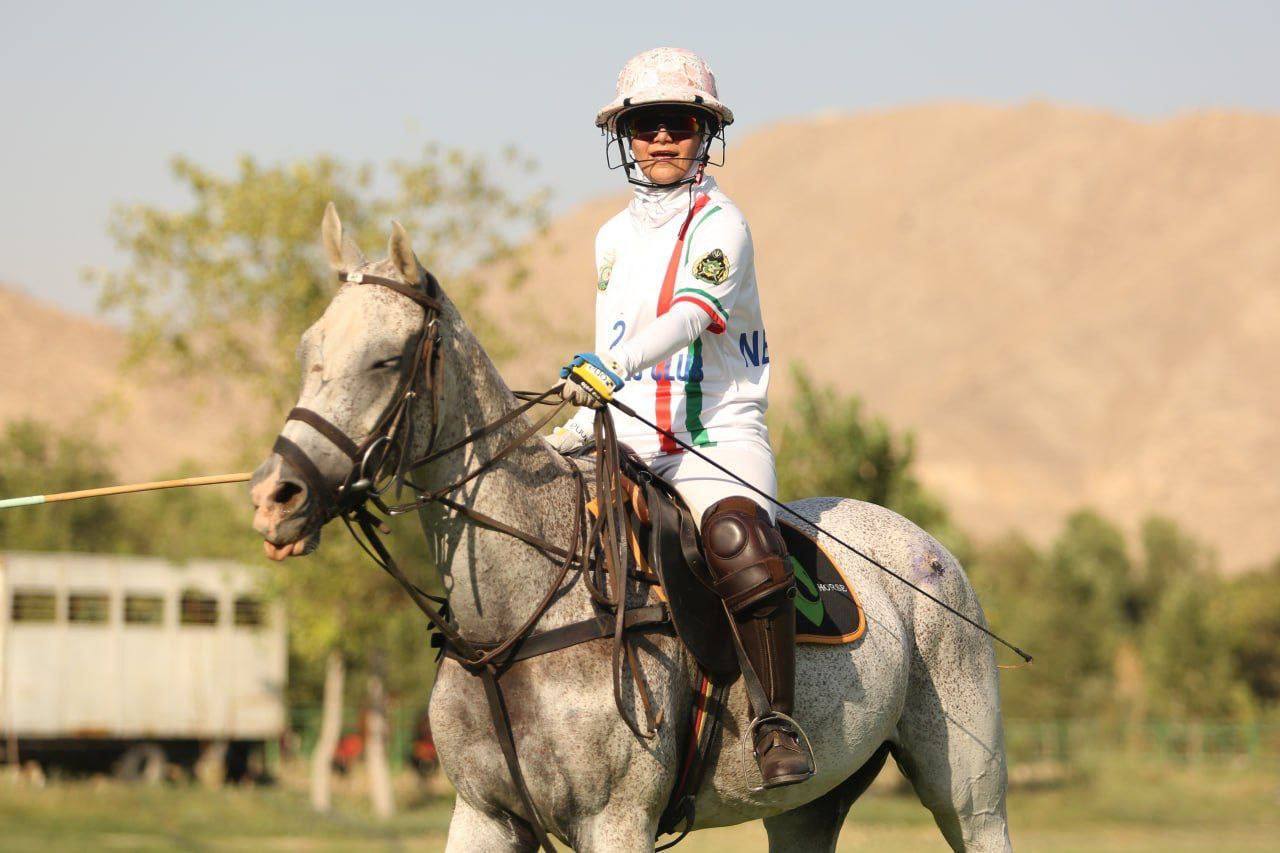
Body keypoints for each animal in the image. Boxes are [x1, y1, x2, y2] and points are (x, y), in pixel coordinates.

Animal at [247, 207, 1008, 850]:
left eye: (386, 357)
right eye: (307, 348)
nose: (275, 496)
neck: (515, 619)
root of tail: (929, 546)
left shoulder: (616, 819)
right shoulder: (482, 814)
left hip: (969, 787)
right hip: (809, 803)